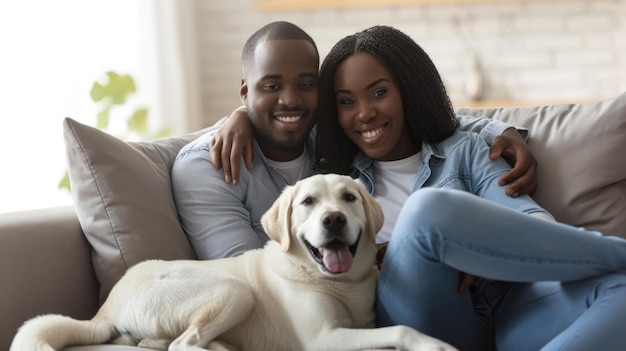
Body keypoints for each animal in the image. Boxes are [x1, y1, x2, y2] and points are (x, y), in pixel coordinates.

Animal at [11, 175, 454, 350]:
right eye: (308, 202)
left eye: (348, 198)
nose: (333, 220)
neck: (333, 280)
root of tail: (105, 306)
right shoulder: (323, 339)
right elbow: (402, 329)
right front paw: (436, 343)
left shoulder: (360, 325)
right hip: (234, 290)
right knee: (183, 343)